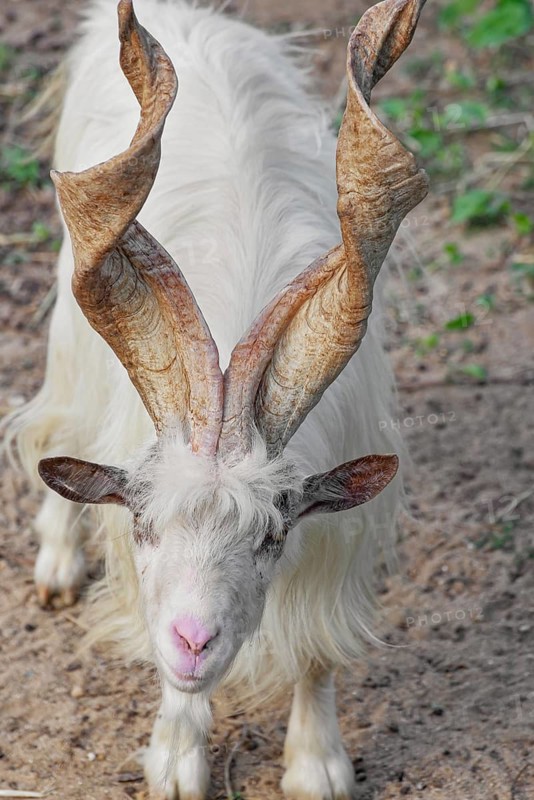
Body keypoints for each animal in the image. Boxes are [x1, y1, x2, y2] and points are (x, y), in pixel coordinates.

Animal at [7, 0, 428, 796]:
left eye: (271, 535)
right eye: (144, 525)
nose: (195, 641)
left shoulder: (338, 534)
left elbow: (315, 646)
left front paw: (317, 763)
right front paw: (176, 760)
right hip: (68, 334)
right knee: (56, 423)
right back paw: (56, 561)